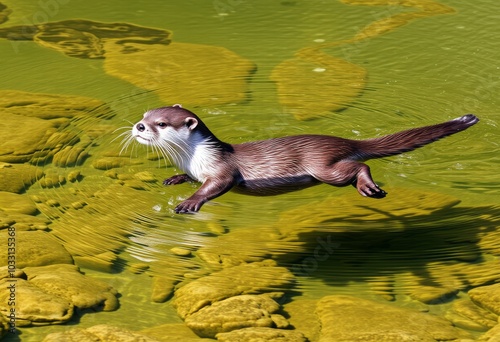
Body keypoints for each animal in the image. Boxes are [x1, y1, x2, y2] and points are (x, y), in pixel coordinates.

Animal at [129, 106, 476, 214]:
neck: (194, 158)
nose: (139, 126)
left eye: (162, 123)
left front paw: (189, 203)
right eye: (145, 114)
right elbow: (189, 179)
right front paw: (174, 179)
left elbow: (215, 186)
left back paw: (369, 188)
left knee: (358, 166)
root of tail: (343, 140)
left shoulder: (222, 170)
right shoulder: (195, 170)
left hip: (323, 168)